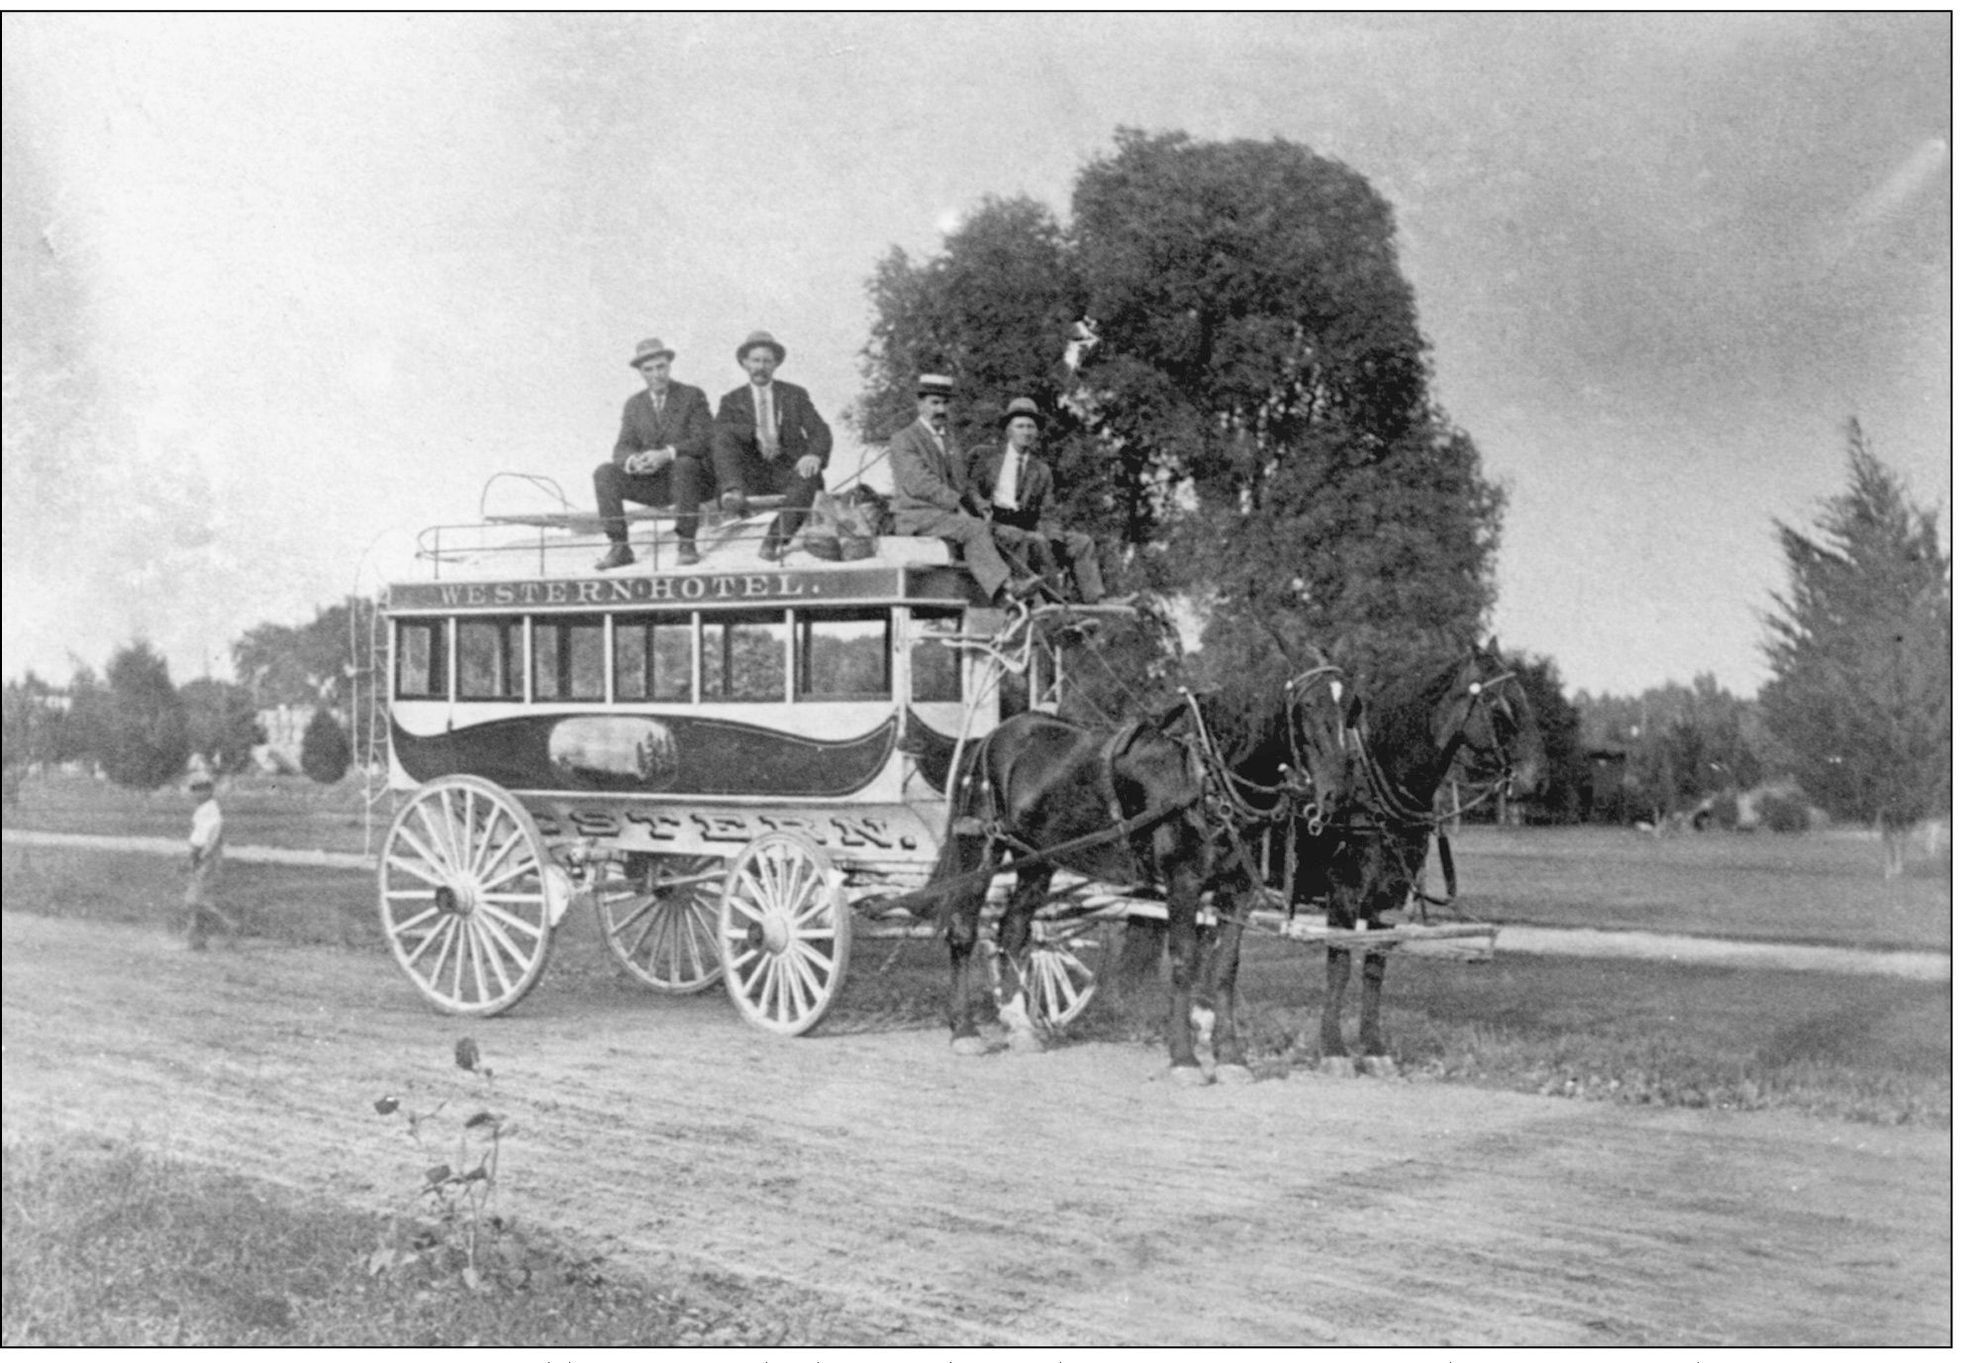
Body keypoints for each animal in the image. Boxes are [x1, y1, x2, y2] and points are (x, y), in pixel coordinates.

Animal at [933, 666, 1349, 1082]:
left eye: (1353, 711)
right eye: (1307, 710)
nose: (1335, 796)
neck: (1201, 775)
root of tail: (989, 740)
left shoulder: (1237, 891)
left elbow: (1224, 969)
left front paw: (1230, 1058)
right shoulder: (1183, 882)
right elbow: (1183, 961)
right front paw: (1184, 1058)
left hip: (1036, 860)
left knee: (1014, 929)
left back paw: (1020, 1026)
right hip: (982, 849)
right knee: (964, 929)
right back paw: (965, 1031)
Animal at [1287, 639, 1546, 1074]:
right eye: (1499, 708)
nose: (1536, 780)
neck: (1375, 793)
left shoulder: (1387, 900)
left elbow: (1375, 967)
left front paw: (1373, 1049)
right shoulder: (1343, 896)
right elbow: (1339, 966)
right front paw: (1333, 1049)